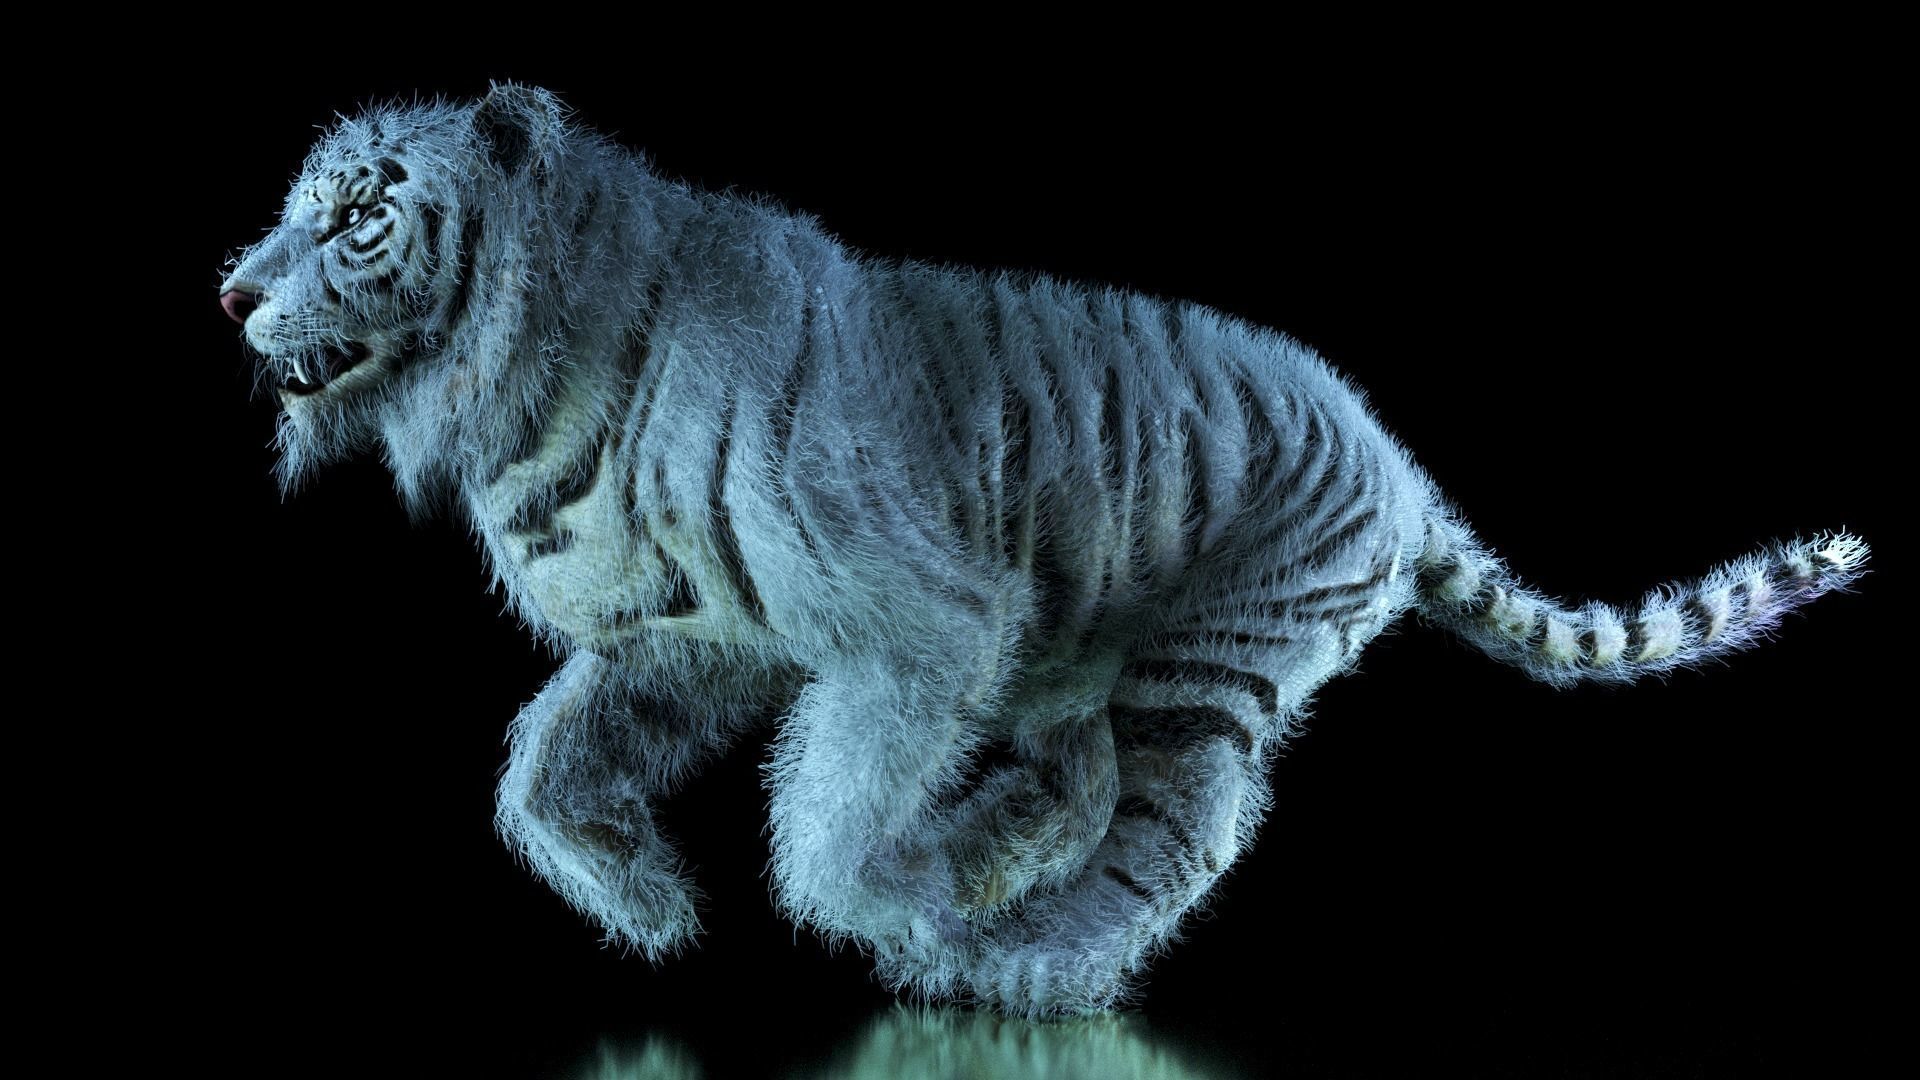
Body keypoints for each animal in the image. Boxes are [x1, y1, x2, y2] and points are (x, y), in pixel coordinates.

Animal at [218, 83, 1870, 1018]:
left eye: (358, 216)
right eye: (295, 207)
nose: (230, 291)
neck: (528, 377)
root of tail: (1399, 465)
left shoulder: (917, 628)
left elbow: (824, 816)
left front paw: (877, 910)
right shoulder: (695, 635)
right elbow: (548, 758)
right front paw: (646, 905)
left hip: (1210, 663)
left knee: (1180, 826)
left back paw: (1032, 960)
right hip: (1085, 667)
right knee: (1070, 786)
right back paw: (978, 881)